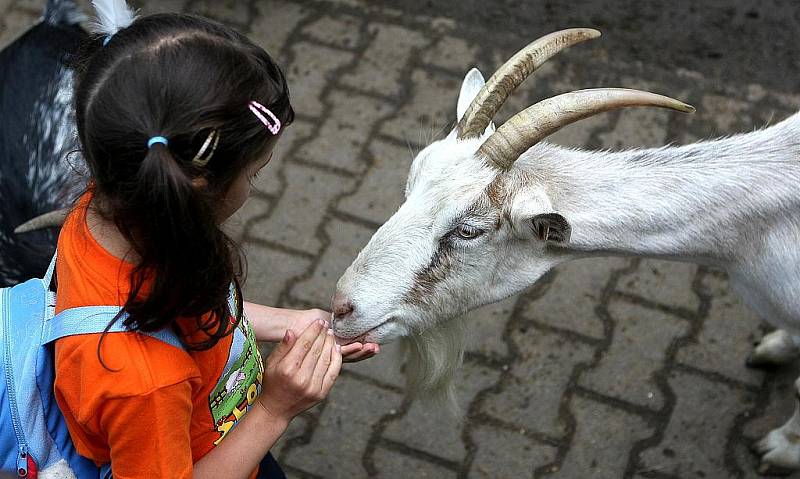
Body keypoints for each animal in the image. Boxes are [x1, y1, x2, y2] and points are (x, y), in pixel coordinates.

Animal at [332, 29, 800, 472]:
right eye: (410, 185)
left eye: (468, 231)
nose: (341, 308)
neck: (745, 242)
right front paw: (777, 347)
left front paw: (782, 448)